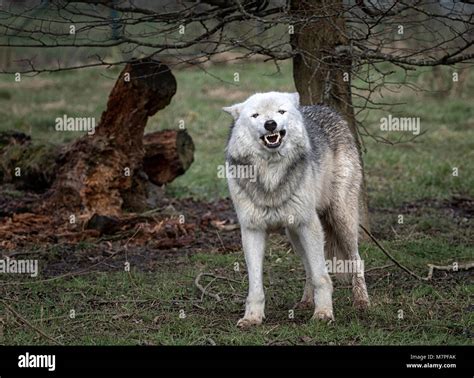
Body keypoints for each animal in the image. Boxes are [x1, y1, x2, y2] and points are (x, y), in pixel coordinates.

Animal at [222, 91, 370, 328]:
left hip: (341, 218)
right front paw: (252, 317)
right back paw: (306, 301)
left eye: (281, 111)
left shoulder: (308, 224)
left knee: (356, 260)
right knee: (308, 267)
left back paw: (361, 301)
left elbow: (322, 276)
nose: (270, 124)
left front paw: (323, 314)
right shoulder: (252, 230)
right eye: (256, 115)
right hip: (293, 233)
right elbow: (255, 284)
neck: (271, 175)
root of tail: (325, 108)